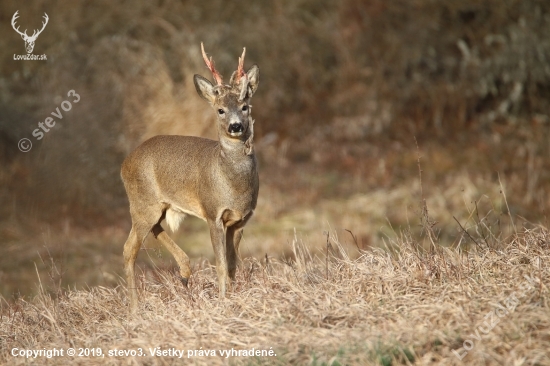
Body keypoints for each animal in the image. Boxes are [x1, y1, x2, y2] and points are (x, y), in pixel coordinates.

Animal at [122, 43, 260, 312]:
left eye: (245, 106)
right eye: (220, 110)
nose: (236, 126)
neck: (233, 184)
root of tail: (124, 164)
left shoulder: (240, 220)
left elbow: (232, 265)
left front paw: (233, 297)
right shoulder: (212, 212)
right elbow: (220, 264)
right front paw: (223, 301)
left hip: (157, 205)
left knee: (154, 228)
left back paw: (185, 272)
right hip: (142, 202)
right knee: (129, 248)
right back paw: (134, 308)